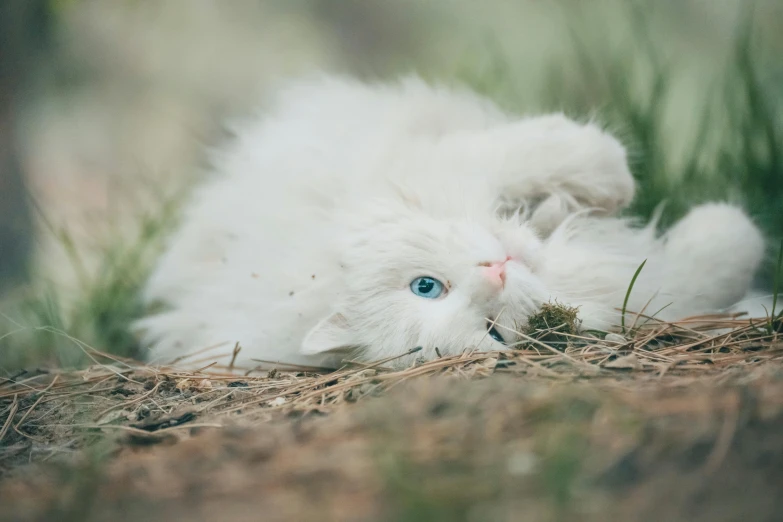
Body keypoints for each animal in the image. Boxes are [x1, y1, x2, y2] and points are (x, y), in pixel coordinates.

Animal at [135, 75, 764, 368]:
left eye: (424, 286)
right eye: (493, 332)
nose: (497, 271)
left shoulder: (449, 165)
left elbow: (566, 154)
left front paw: (611, 186)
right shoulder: (651, 292)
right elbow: (718, 255)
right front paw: (731, 227)